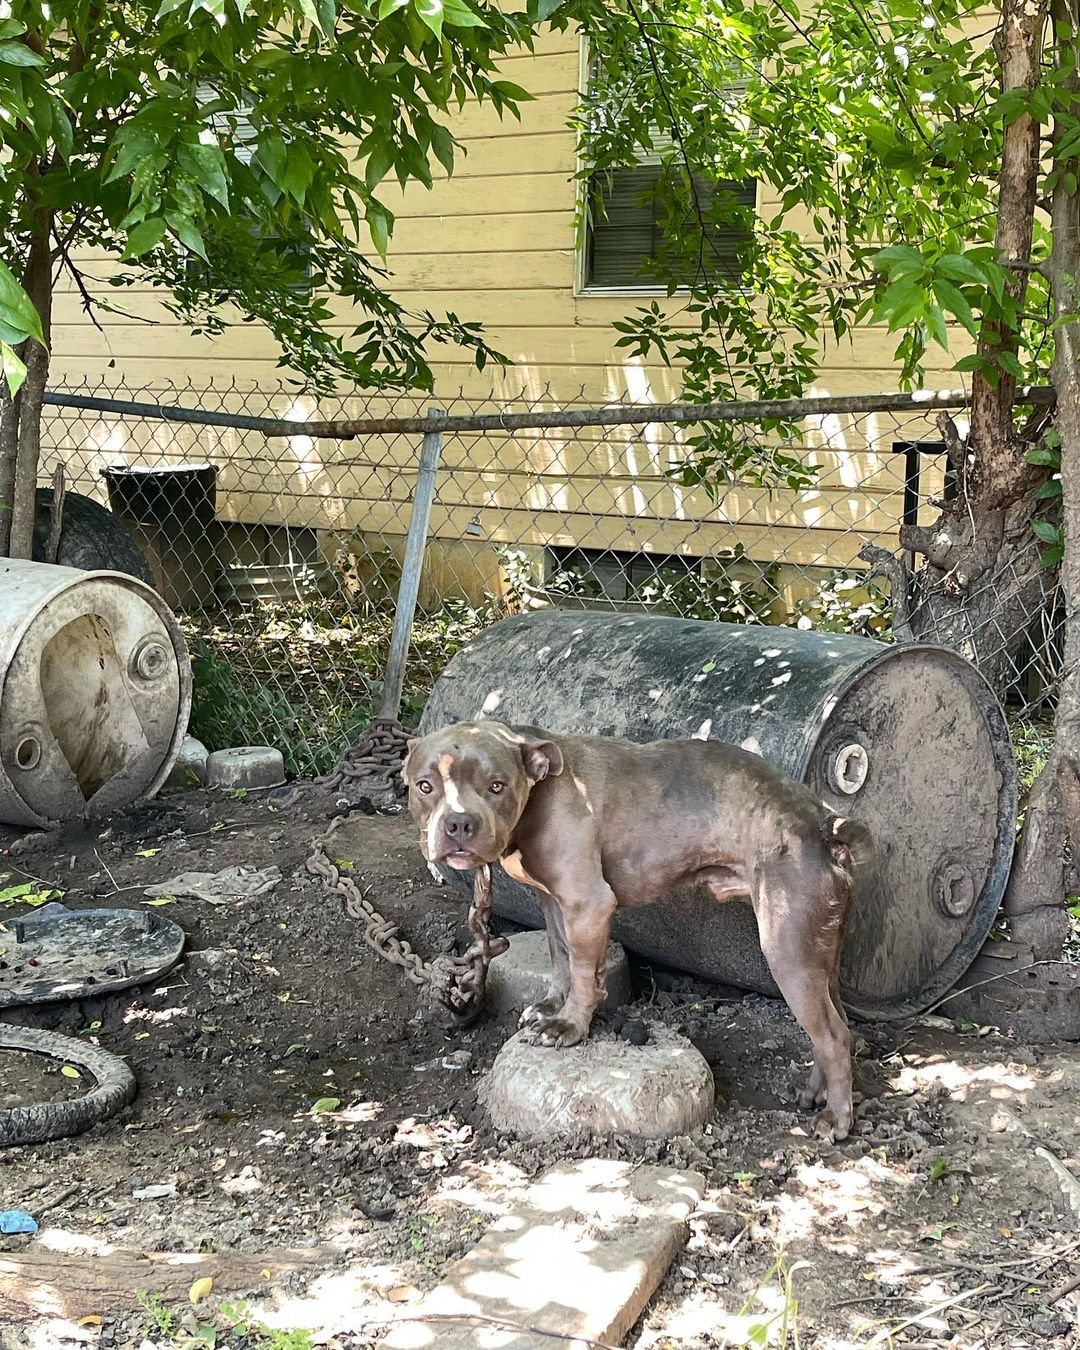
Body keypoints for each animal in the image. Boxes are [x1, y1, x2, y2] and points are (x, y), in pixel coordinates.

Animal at [399, 718, 874, 1139]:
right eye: (425, 786)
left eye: (497, 786)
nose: (459, 824)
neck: (538, 792)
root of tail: (822, 825)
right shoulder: (553, 903)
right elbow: (561, 957)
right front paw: (552, 1006)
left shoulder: (587, 903)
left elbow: (584, 974)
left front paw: (569, 1026)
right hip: (817, 954)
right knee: (834, 1025)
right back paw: (816, 1094)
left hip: (786, 948)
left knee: (833, 1035)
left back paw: (837, 1119)